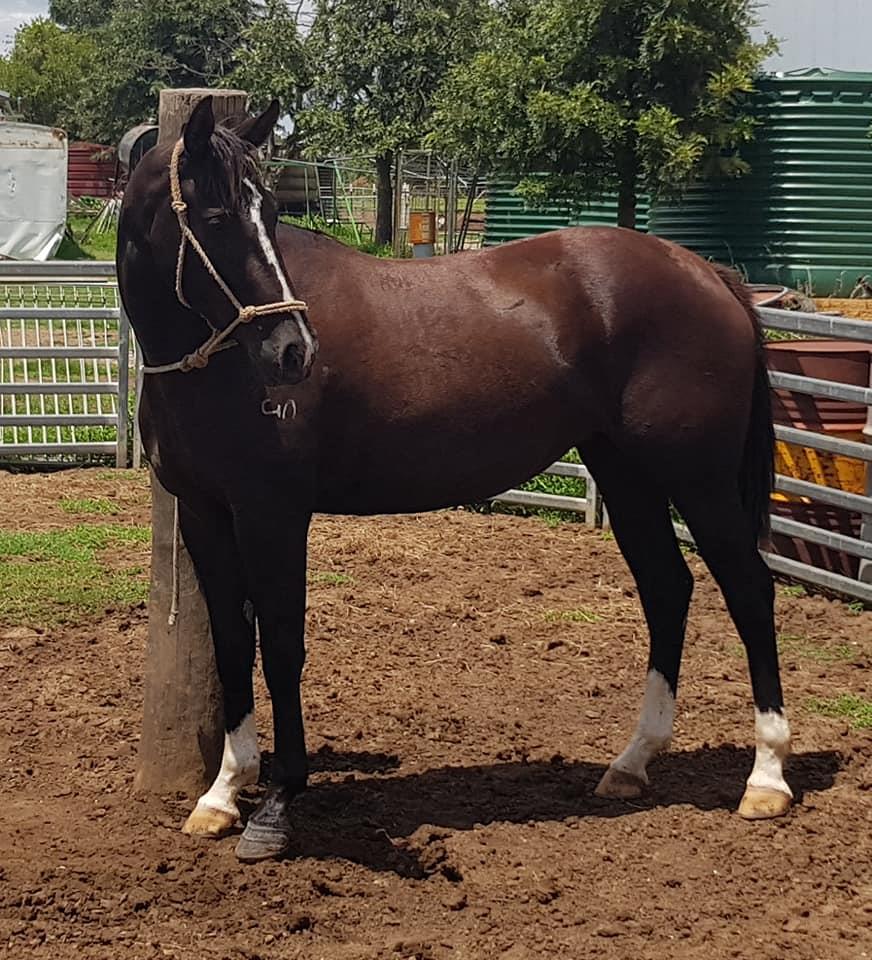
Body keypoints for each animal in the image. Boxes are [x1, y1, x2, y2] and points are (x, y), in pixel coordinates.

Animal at [117, 97, 792, 863]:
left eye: (270, 210)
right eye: (216, 215)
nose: (294, 351)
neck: (215, 369)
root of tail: (709, 275)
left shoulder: (274, 514)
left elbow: (282, 644)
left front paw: (278, 804)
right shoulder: (205, 511)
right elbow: (233, 641)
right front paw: (223, 793)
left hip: (698, 479)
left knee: (748, 591)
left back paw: (766, 779)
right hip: (626, 474)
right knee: (667, 589)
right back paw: (633, 762)